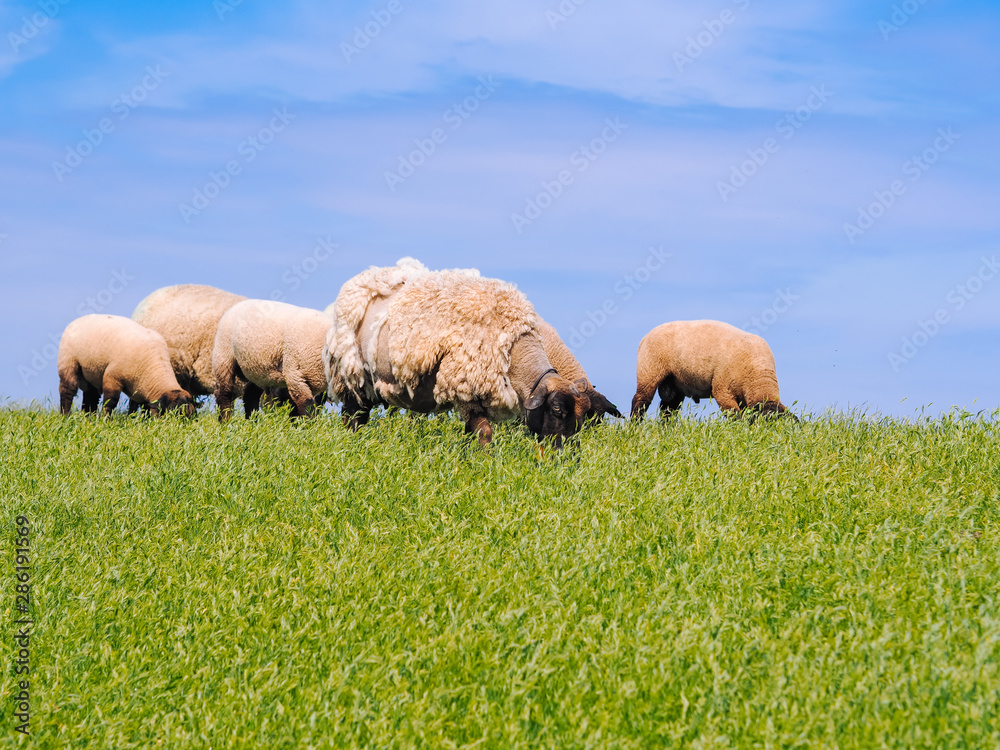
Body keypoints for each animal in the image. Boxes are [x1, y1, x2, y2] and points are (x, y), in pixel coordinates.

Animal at [57, 314, 195, 417]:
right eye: (172, 413)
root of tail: (77, 320)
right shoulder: (112, 377)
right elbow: (110, 402)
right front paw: (105, 420)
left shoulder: (139, 387)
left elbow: (140, 407)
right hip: (68, 363)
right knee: (67, 391)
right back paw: (65, 417)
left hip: (91, 374)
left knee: (90, 398)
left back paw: (88, 419)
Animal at [324, 265, 592, 446]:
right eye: (556, 410)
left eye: (583, 418)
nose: (568, 455)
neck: (513, 346)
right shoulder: (464, 387)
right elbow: (484, 433)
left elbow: (471, 433)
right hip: (351, 375)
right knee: (352, 416)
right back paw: (351, 445)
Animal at [630, 320, 793, 421]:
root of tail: (645, 337)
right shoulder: (723, 391)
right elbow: (735, 417)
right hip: (649, 371)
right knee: (641, 401)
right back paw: (635, 426)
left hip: (673, 382)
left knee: (668, 408)